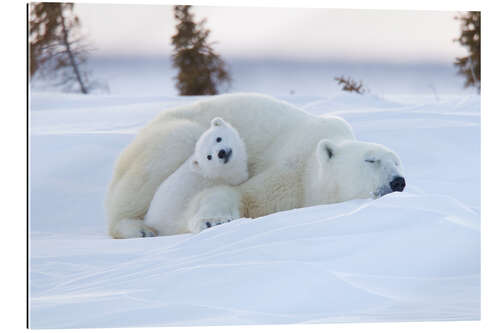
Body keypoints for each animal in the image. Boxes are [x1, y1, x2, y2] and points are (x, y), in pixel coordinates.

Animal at [106, 93, 406, 239]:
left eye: (398, 162)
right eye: (371, 159)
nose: (398, 182)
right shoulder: (290, 167)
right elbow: (242, 194)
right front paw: (213, 220)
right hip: (170, 136)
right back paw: (138, 228)